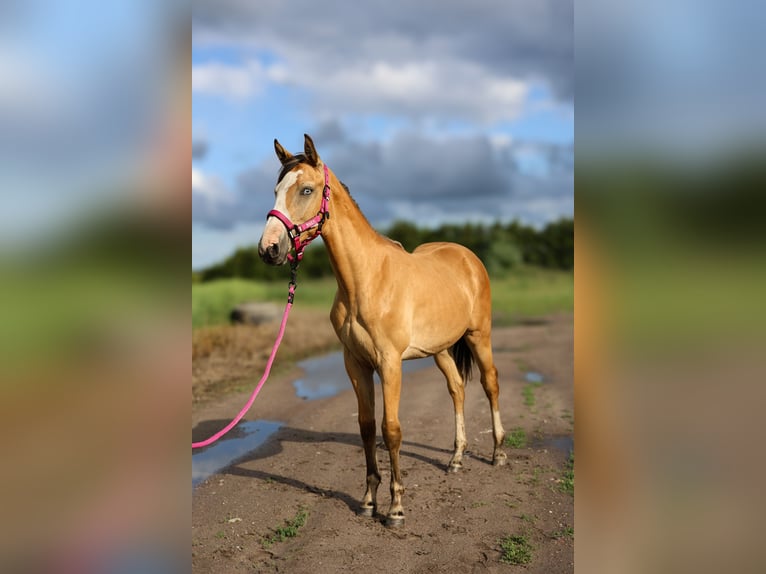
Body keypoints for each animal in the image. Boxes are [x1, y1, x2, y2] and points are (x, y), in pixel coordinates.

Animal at [258, 134, 506, 527]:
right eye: (276, 190)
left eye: (306, 190)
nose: (269, 248)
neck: (366, 280)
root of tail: (468, 257)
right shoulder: (355, 363)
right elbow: (366, 427)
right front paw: (368, 500)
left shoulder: (390, 364)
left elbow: (391, 429)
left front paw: (396, 508)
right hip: (440, 349)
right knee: (456, 389)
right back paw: (455, 459)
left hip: (479, 335)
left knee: (490, 383)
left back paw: (497, 453)